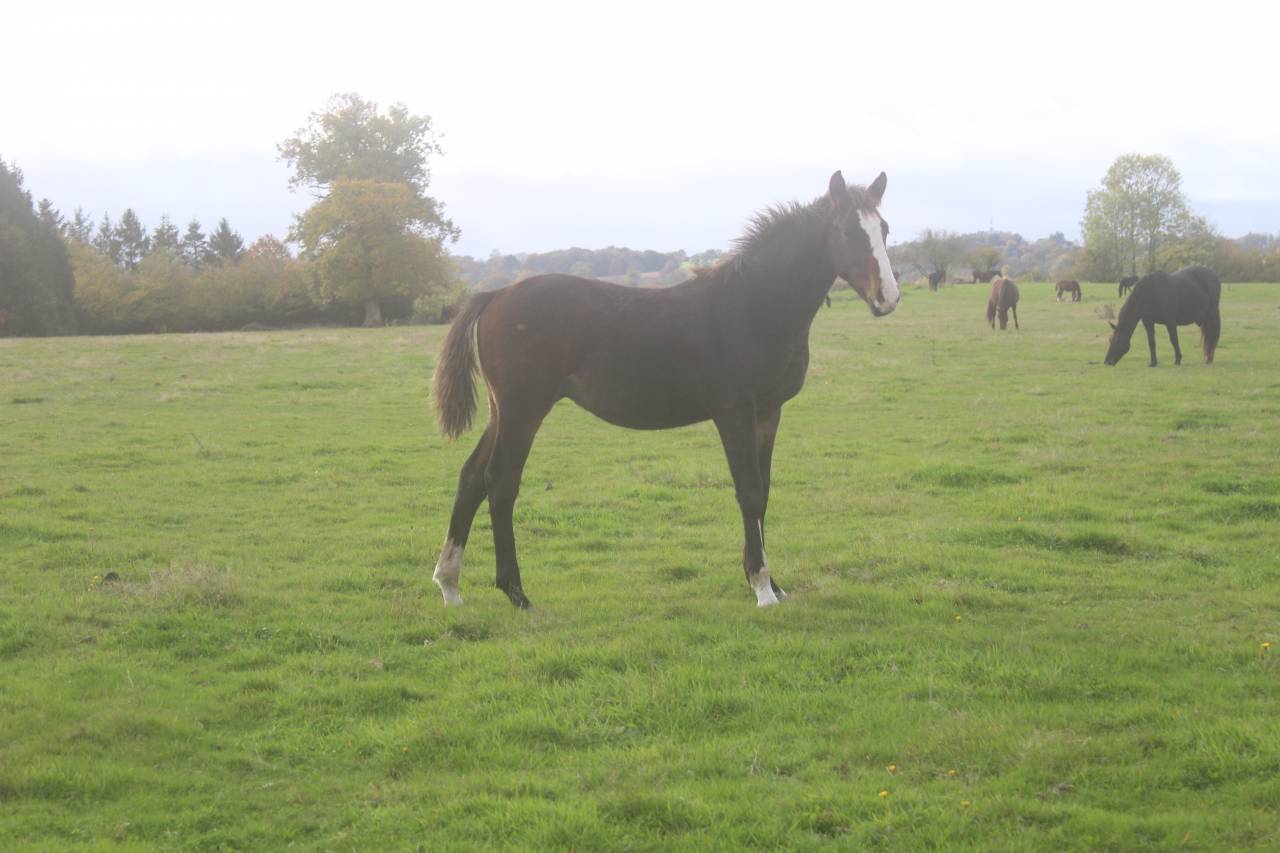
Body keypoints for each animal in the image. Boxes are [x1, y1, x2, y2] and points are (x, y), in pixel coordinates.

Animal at [431, 171, 900, 609]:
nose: (888, 298)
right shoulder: (733, 412)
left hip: (502, 411)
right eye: (847, 231)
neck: (754, 306)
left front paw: (775, 583)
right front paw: (762, 587)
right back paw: (516, 592)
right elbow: (748, 491)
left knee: (471, 477)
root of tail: (496, 294)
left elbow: (764, 491)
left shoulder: (769, 412)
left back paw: (450, 585)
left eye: (885, 229)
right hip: (523, 410)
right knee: (500, 482)